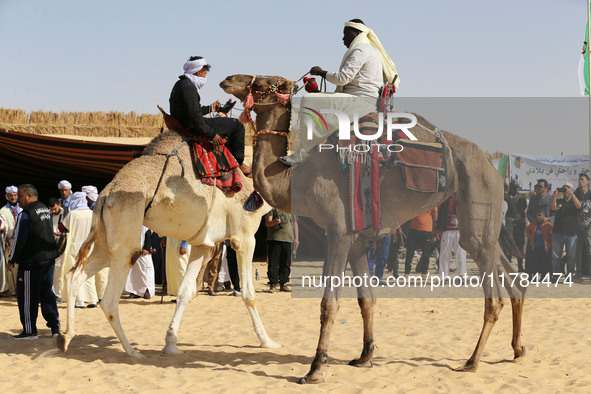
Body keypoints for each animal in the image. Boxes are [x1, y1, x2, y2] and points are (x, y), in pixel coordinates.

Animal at [221, 73, 528, 382]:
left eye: (262, 83)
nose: (228, 80)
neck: (299, 178)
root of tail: (491, 166)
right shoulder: (357, 240)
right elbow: (366, 299)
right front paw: (365, 356)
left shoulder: (338, 232)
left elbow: (329, 303)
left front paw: (316, 368)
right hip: (484, 218)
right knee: (512, 276)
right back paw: (517, 349)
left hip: (478, 199)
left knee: (493, 295)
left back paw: (472, 360)